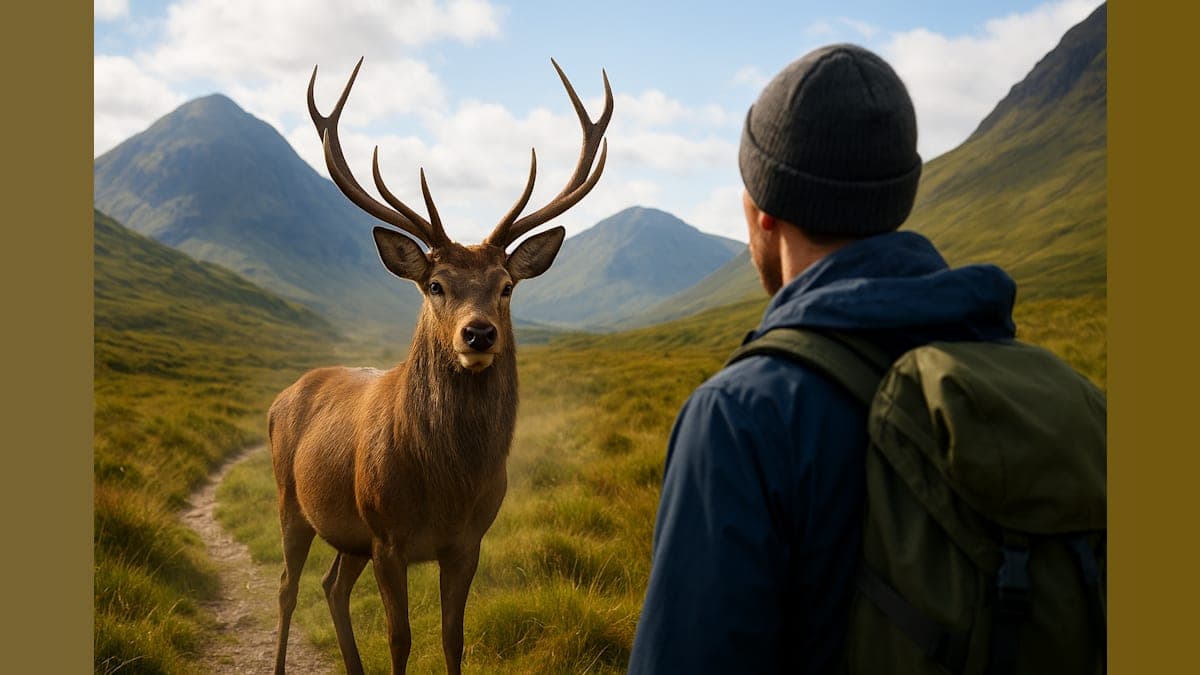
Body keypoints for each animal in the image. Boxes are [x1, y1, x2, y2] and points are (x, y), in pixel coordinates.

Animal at [268, 57, 612, 675]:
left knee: (332, 584)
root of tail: (281, 398)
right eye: (436, 284)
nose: (479, 333)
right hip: (292, 497)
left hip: (348, 534)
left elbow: (454, 637)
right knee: (287, 586)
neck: (446, 488)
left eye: (506, 285)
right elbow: (400, 638)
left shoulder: (468, 542)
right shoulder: (387, 537)